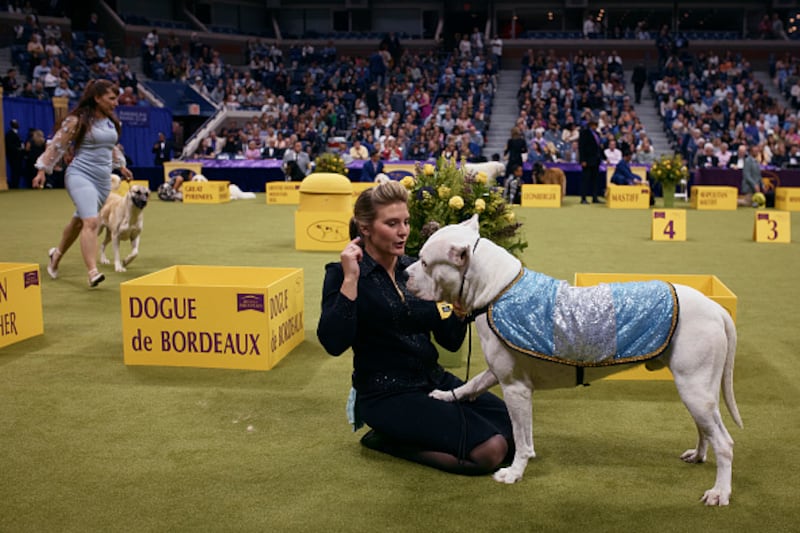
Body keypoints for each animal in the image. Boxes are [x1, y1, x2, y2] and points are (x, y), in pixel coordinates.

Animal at [406, 214, 744, 504]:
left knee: (725, 443)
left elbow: (520, 436)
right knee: (706, 429)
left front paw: (514, 472)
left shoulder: (515, 388)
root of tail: (716, 308)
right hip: (698, 390)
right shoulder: (499, 374)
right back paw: (698, 455)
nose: (405, 273)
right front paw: (445, 395)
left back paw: (719, 492)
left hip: (694, 388)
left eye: (424, 262)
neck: (496, 290)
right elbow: (474, 385)